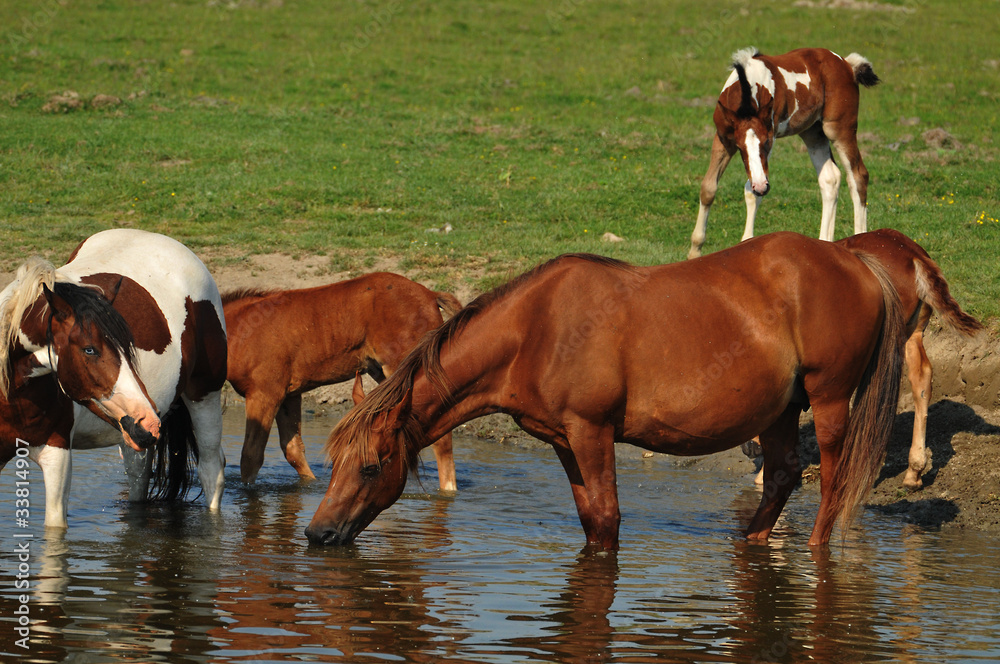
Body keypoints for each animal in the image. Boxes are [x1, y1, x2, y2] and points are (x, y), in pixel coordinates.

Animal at [0, 229, 228, 528]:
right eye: (89, 349)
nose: (147, 420)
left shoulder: (57, 453)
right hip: (133, 434)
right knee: (139, 474)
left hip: (204, 396)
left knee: (211, 470)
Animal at [223, 273, 462, 489]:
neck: (243, 331)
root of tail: (431, 295)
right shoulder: (289, 395)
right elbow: (293, 451)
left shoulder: (264, 394)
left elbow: (251, 456)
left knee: (442, 439)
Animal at [306, 232, 907, 550]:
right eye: (332, 463)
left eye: (371, 467)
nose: (317, 533)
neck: (537, 329)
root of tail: (854, 260)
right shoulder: (563, 441)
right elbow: (593, 522)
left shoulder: (593, 433)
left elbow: (611, 519)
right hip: (780, 410)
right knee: (782, 475)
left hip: (827, 401)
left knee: (830, 483)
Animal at [688, 47, 880, 259]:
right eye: (740, 147)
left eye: (766, 143)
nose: (761, 186)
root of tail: (846, 63)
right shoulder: (723, 140)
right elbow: (708, 188)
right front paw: (694, 252)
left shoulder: (770, 135)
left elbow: (752, 193)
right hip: (813, 133)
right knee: (830, 178)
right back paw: (824, 244)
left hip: (839, 129)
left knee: (858, 176)